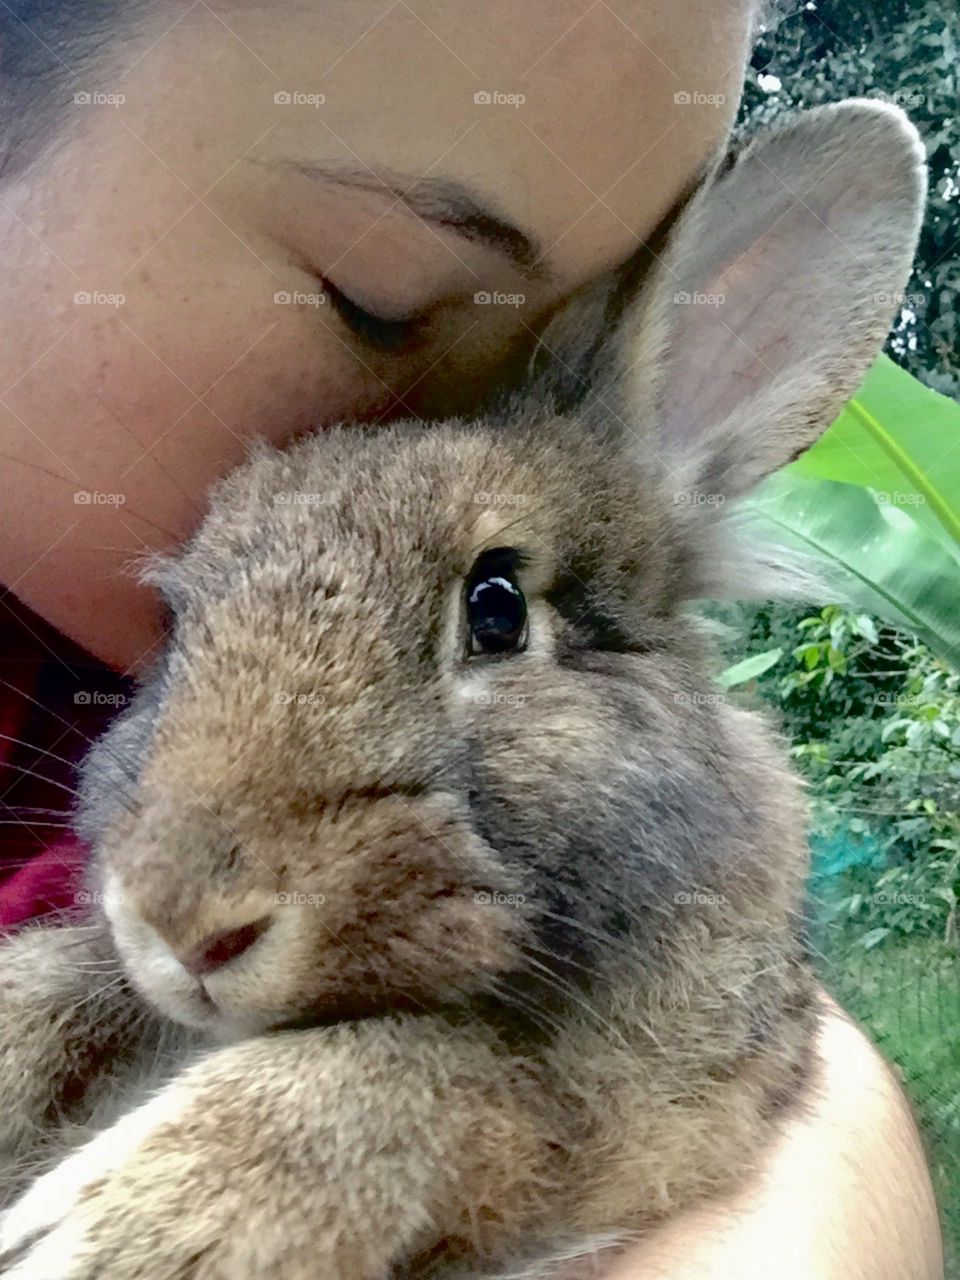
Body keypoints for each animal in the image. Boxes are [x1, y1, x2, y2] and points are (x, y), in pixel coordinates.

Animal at [0, 98, 925, 1280]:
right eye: (173, 621)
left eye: (497, 607)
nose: (185, 922)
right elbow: (60, 976)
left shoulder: (606, 1113)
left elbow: (432, 1073)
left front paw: (106, 1232)